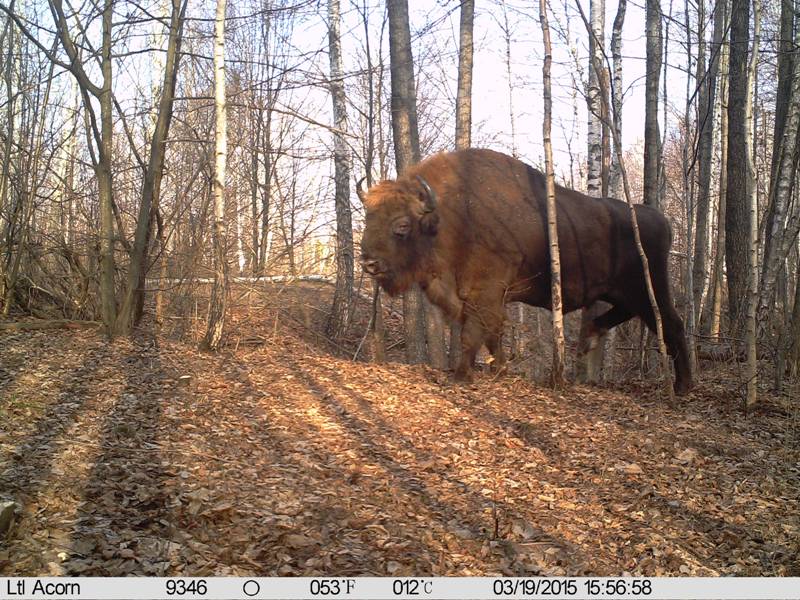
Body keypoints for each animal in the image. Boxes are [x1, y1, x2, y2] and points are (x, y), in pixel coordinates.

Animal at [360, 148, 692, 396]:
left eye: (402, 225)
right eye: (368, 218)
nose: (369, 263)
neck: (449, 216)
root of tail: (660, 219)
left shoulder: (486, 292)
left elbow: (474, 333)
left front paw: (462, 375)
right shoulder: (482, 297)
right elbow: (492, 333)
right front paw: (499, 369)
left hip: (648, 288)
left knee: (672, 324)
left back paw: (683, 386)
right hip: (622, 291)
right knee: (625, 316)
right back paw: (590, 338)